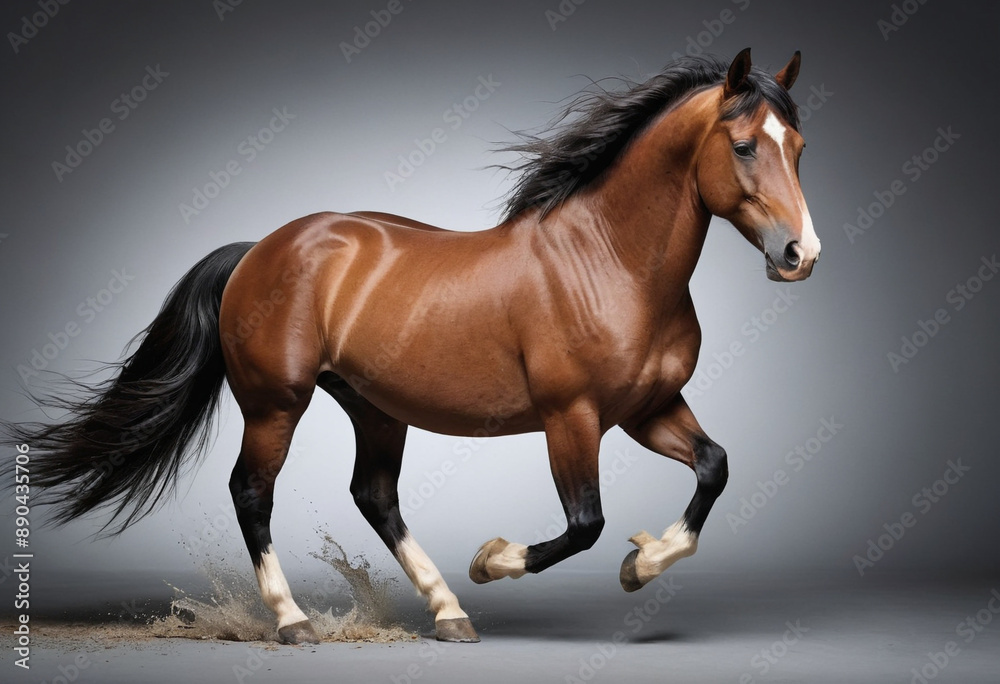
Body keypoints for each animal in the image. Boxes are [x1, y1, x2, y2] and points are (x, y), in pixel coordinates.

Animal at [7, 48, 820, 644]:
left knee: (374, 496)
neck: (609, 261)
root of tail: (260, 249)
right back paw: (297, 621)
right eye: (743, 146)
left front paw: (643, 563)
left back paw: (447, 611)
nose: (800, 255)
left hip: (373, 407)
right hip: (276, 404)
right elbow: (585, 524)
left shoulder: (648, 408)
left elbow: (714, 468)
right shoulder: (574, 417)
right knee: (252, 493)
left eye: (801, 148)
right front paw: (494, 559)